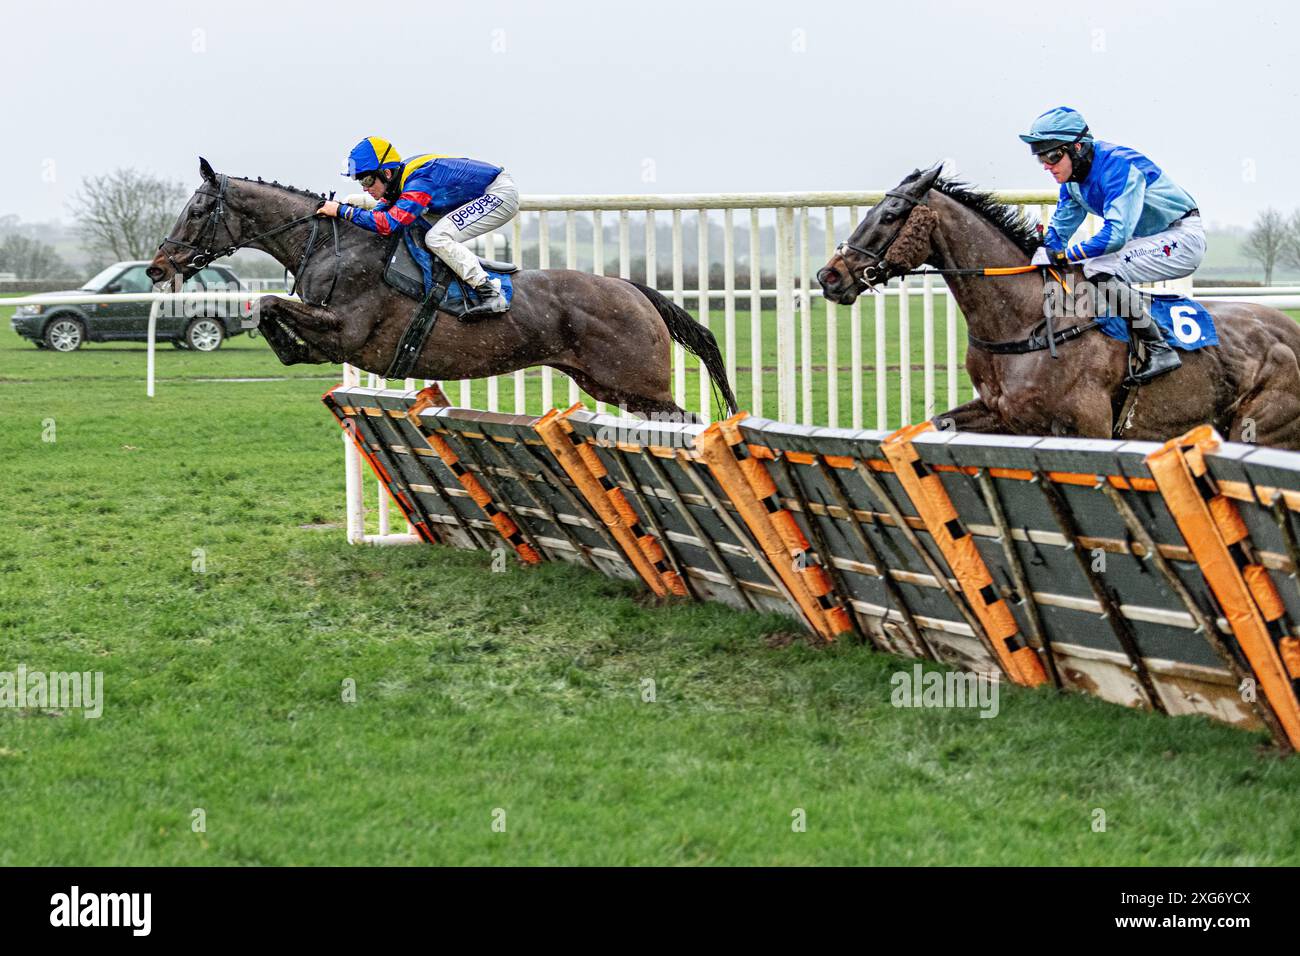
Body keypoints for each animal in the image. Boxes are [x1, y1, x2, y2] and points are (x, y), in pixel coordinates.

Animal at [147, 158, 738, 421]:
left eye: (196, 210)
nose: (157, 267)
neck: (332, 244)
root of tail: (633, 290)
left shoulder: (347, 330)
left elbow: (270, 303)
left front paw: (293, 347)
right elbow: (268, 309)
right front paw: (292, 350)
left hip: (638, 384)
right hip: (609, 385)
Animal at [816, 163, 1300, 447]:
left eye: (888, 216)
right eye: (870, 211)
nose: (829, 276)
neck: (1024, 321)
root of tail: (1289, 330)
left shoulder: (1090, 427)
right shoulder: (1002, 413)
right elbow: (934, 424)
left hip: (1260, 427)